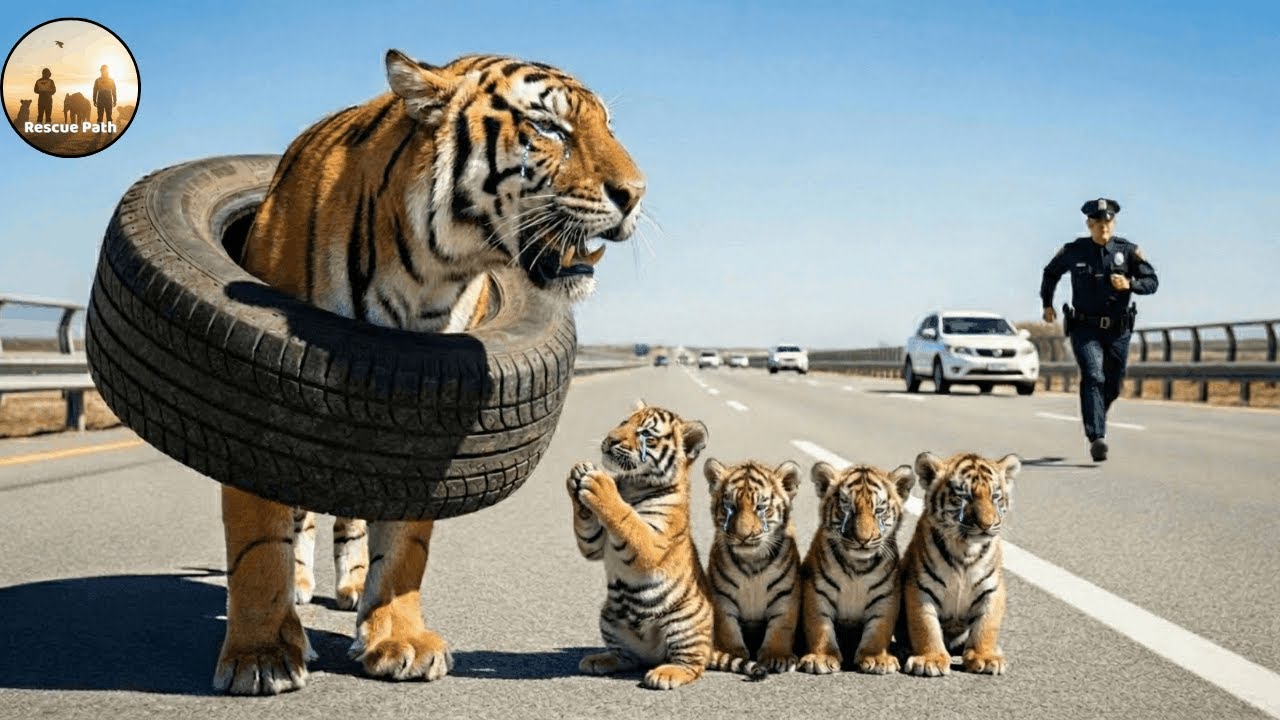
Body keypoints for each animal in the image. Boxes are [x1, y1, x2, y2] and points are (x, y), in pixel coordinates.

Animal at [215, 48, 645, 695]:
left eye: (610, 128)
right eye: (549, 128)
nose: (636, 192)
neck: (429, 274)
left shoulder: (428, 405)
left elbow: (405, 542)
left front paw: (398, 639)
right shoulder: (252, 388)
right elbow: (260, 531)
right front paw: (261, 655)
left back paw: (350, 586)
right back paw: (302, 586)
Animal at [567, 402, 767, 689]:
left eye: (646, 435)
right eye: (624, 423)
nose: (610, 439)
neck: (633, 484)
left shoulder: (653, 543)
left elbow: (627, 519)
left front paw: (599, 483)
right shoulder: (595, 543)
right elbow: (588, 533)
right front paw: (578, 474)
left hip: (683, 623)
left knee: (694, 665)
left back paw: (666, 673)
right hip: (609, 617)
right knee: (628, 658)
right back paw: (600, 660)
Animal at [704, 458, 802, 673]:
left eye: (760, 507)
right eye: (730, 506)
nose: (743, 535)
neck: (752, 561)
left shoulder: (785, 594)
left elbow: (781, 626)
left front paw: (777, 656)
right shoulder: (721, 596)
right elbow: (726, 628)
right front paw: (730, 654)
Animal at [798, 461, 914, 675]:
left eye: (879, 510)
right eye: (848, 509)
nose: (863, 540)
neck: (857, 566)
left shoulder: (886, 595)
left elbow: (879, 628)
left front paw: (876, 658)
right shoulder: (817, 590)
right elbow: (820, 626)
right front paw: (821, 658)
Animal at [900, 451, 1021, 677]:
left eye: (995, 496)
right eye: (965, 496)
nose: (987, 525)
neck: (966, 550)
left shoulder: (993, 589)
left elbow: (987, 624)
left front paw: (985, 657)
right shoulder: (920, 587)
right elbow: (925, 625)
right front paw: (930, 660)